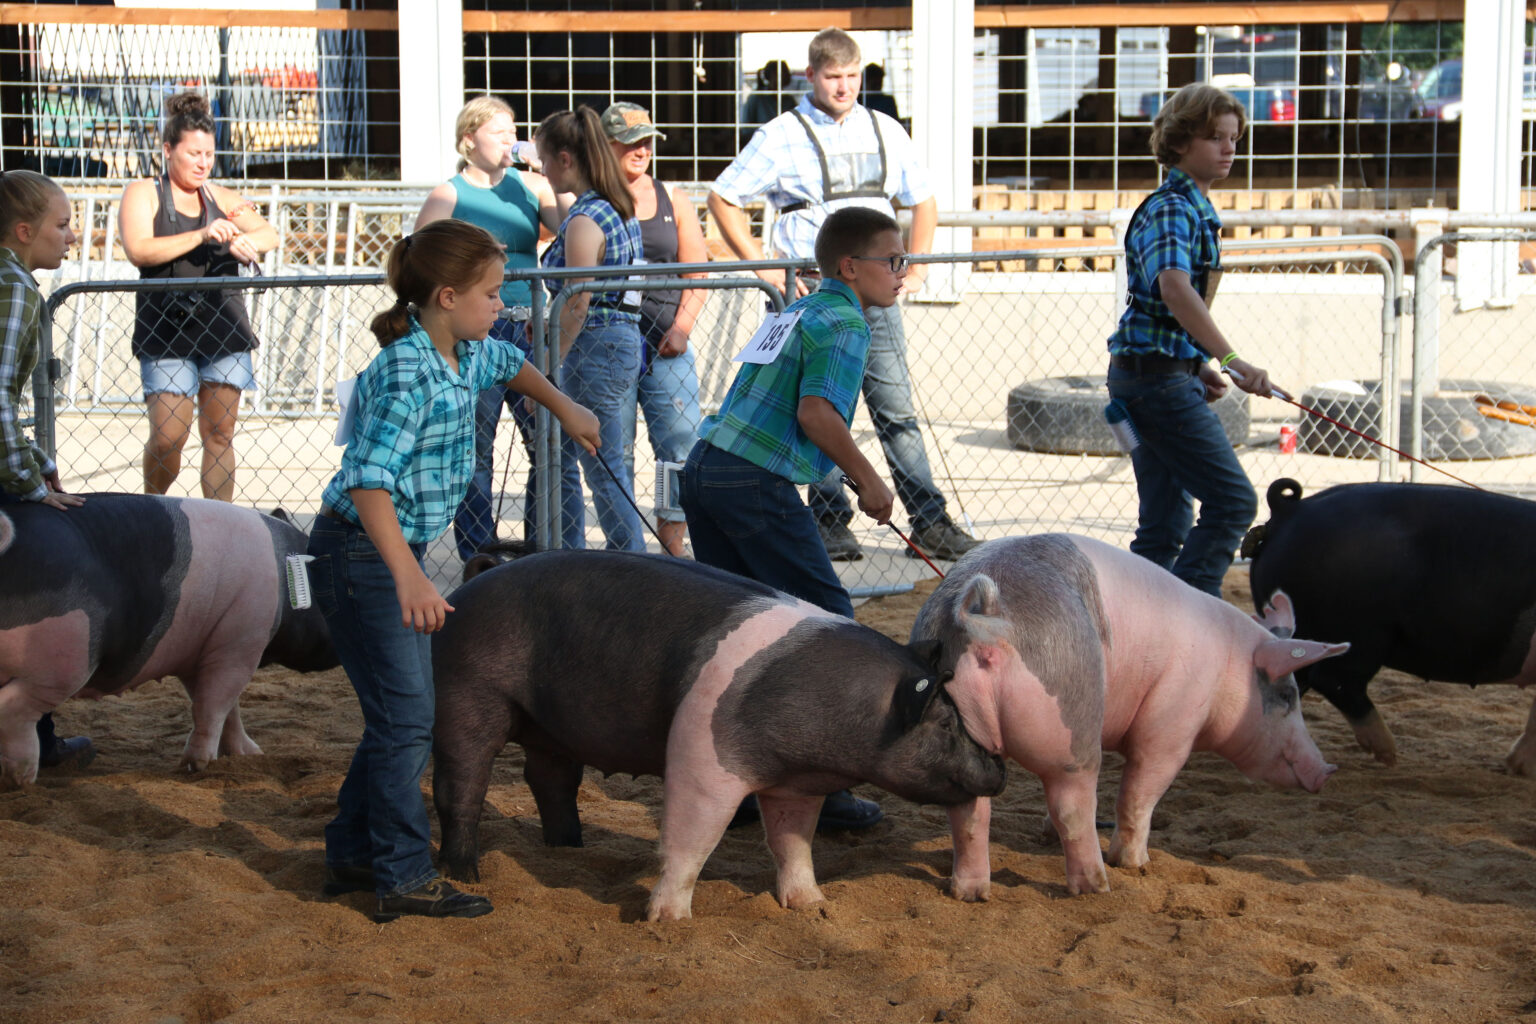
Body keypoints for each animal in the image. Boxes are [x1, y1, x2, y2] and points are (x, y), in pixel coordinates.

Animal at [0, 491, 334, 792]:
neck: (283, 575)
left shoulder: (202, 651)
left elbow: (225, 708)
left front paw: (252, 754)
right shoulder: (240, 642)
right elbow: (215, 704)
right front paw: (197, 767)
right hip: (66, 657)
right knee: (15, 708)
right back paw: (22, 780)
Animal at [433, 549, 1007, 927]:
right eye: (945, 722)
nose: (999, 768)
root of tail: (466, 587)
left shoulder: (795, 784)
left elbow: (792, 842)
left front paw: (813, 905)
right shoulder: (702, 755)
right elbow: (694, 838)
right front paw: (667, 922)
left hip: (550, 727)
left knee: (548, 778)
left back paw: (569, 847)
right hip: (466, 690)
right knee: (460, 783)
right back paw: (468, 877)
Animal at [903, 537, 1351, 896]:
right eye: (1289, 695)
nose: (1327, 770)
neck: (1228, 666)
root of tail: (983, 617)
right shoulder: (1172, 725)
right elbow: (1139, 793)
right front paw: (1136, 864)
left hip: (966, 741)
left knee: (969, 813)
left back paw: (970, 893)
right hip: (1073, 732)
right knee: (1073, 807)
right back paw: (1098, 885)